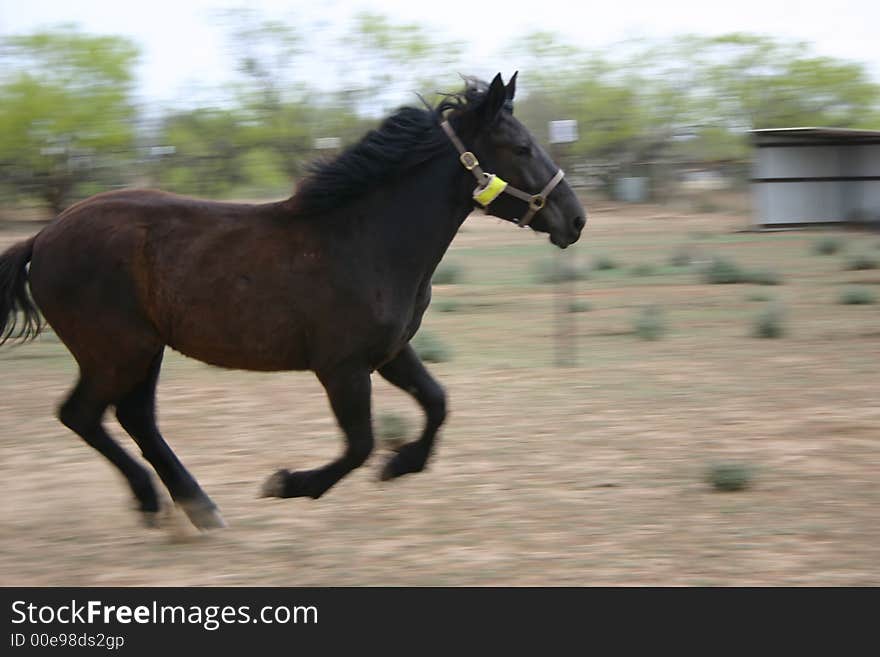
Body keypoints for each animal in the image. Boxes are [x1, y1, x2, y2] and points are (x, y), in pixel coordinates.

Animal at [1, 74, 584, 532]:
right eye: (521, 148)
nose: (575, 220)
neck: (366, 239)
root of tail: (43, 238)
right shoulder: (341, 368)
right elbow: (360, 444)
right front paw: (288, 483)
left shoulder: (391, 353)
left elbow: (437, 403)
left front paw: (402, 465)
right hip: (116, 352)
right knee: (83, 414)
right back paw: (162, 503)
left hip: (144, 350)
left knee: (133, 417)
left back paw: (196, 508)